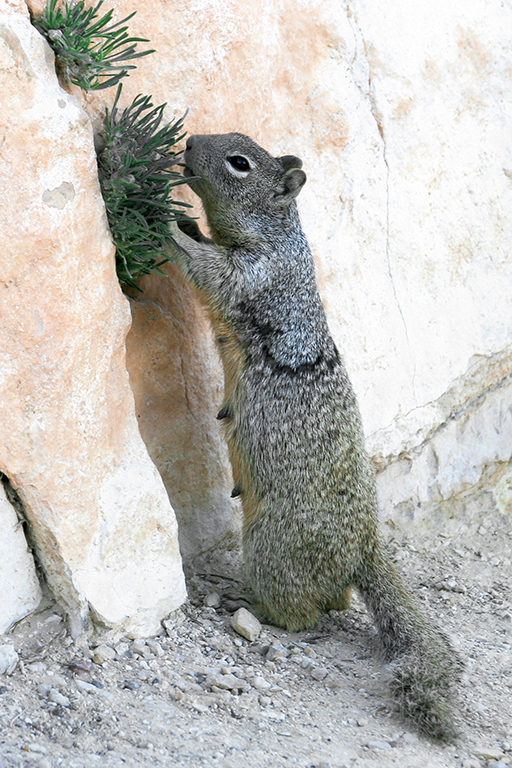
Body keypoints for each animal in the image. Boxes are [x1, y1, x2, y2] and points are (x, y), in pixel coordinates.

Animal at [168, 132, 460, 736]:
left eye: (239, 163)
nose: (191, 140)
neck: (279, 234)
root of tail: (364, 550)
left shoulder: (251, 273)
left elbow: (206, 267)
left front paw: (165, 219)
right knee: (334, 603)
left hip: (270, 547)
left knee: (306, 614)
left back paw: (252, 607)